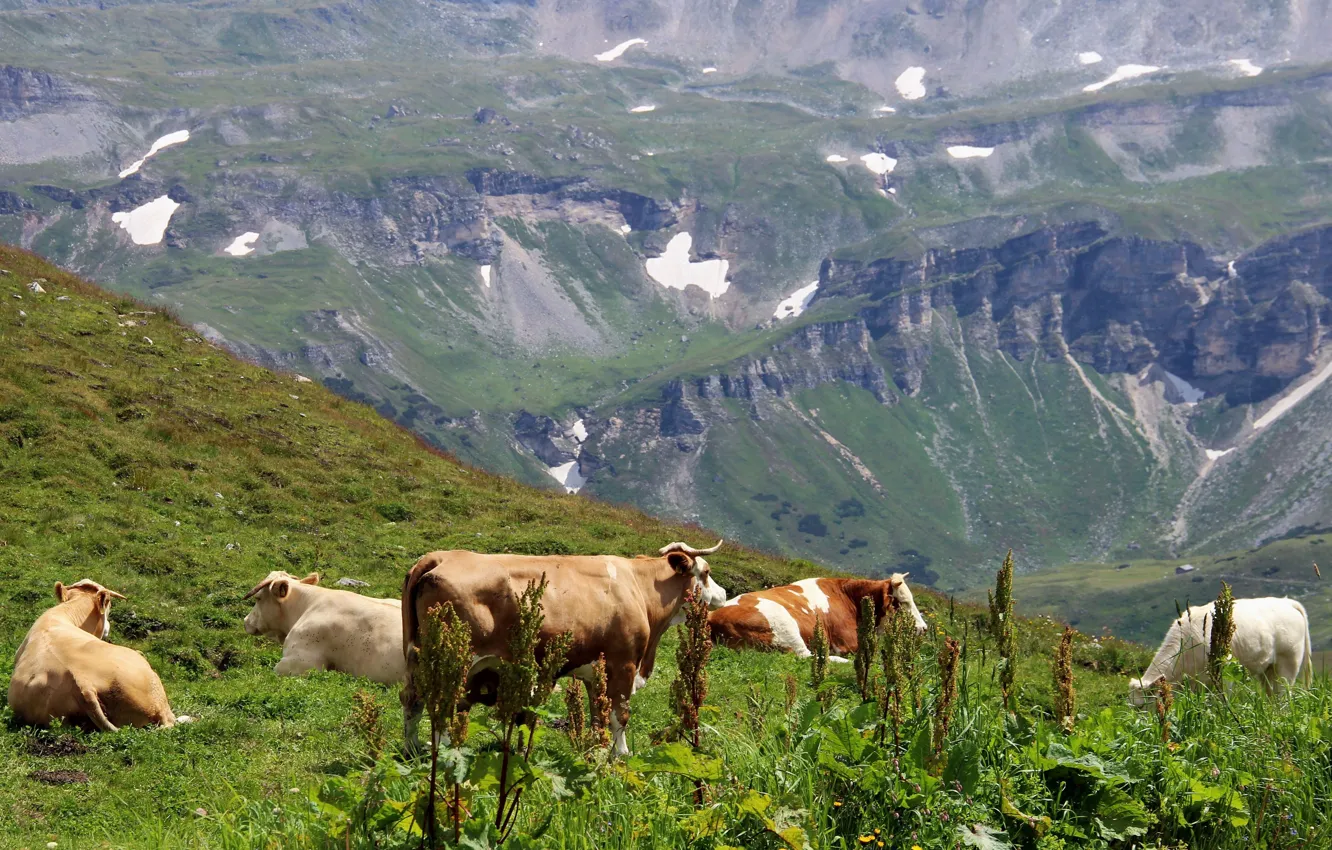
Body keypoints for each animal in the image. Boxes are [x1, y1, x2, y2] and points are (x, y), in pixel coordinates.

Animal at [400, 540, 729, 757]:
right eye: (706, 572)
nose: (724, 594)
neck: (639, 587)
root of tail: (440, 557)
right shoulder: (623, 664)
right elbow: (620, 714)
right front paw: (621, 754)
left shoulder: (595, 672)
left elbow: (599, 714)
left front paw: (597, 751)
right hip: (456, 658)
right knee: (443, 699)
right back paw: (443, 749)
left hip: (416, 656)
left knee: (412, 699)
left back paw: (413, 747)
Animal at [707, 574, 927, 660]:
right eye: (903, 602)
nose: (923, 628)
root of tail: (711, 616)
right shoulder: (846, 644)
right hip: (785, 626)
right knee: (807, 656)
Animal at [1129, 597, 1313, 705]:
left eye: (1142, 706)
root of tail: (1287, 602)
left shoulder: (1224, 672)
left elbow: (1222, 699)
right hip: (1268, 669)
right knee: (1272, 694)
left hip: (1288, 663)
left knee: (1283, 695)